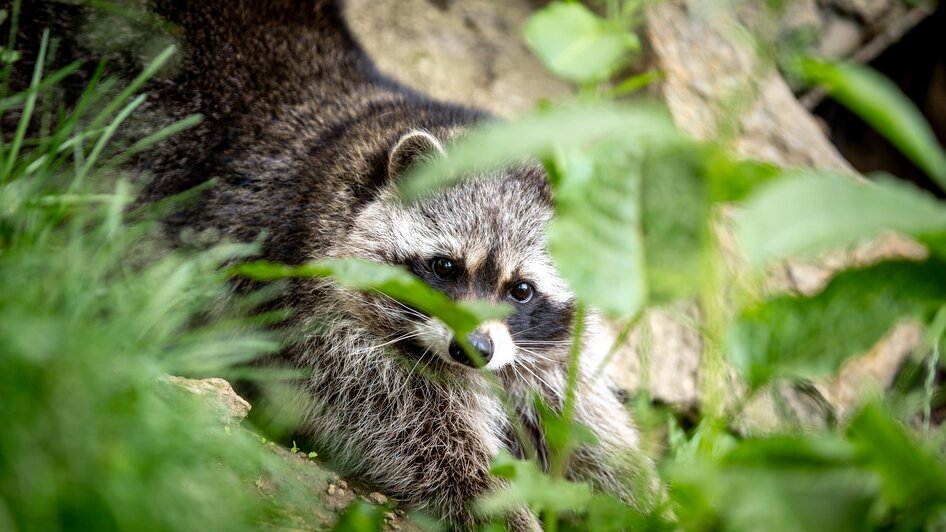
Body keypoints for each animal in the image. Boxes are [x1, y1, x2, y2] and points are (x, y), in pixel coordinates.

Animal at [7, 0, 656, 524]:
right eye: (446, 268)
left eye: (521, 289)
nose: (474, 350)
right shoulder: (309, 307)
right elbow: (404, 431)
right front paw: (493, 506)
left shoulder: (542, 355)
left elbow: (585, 420)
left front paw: (643, 499)